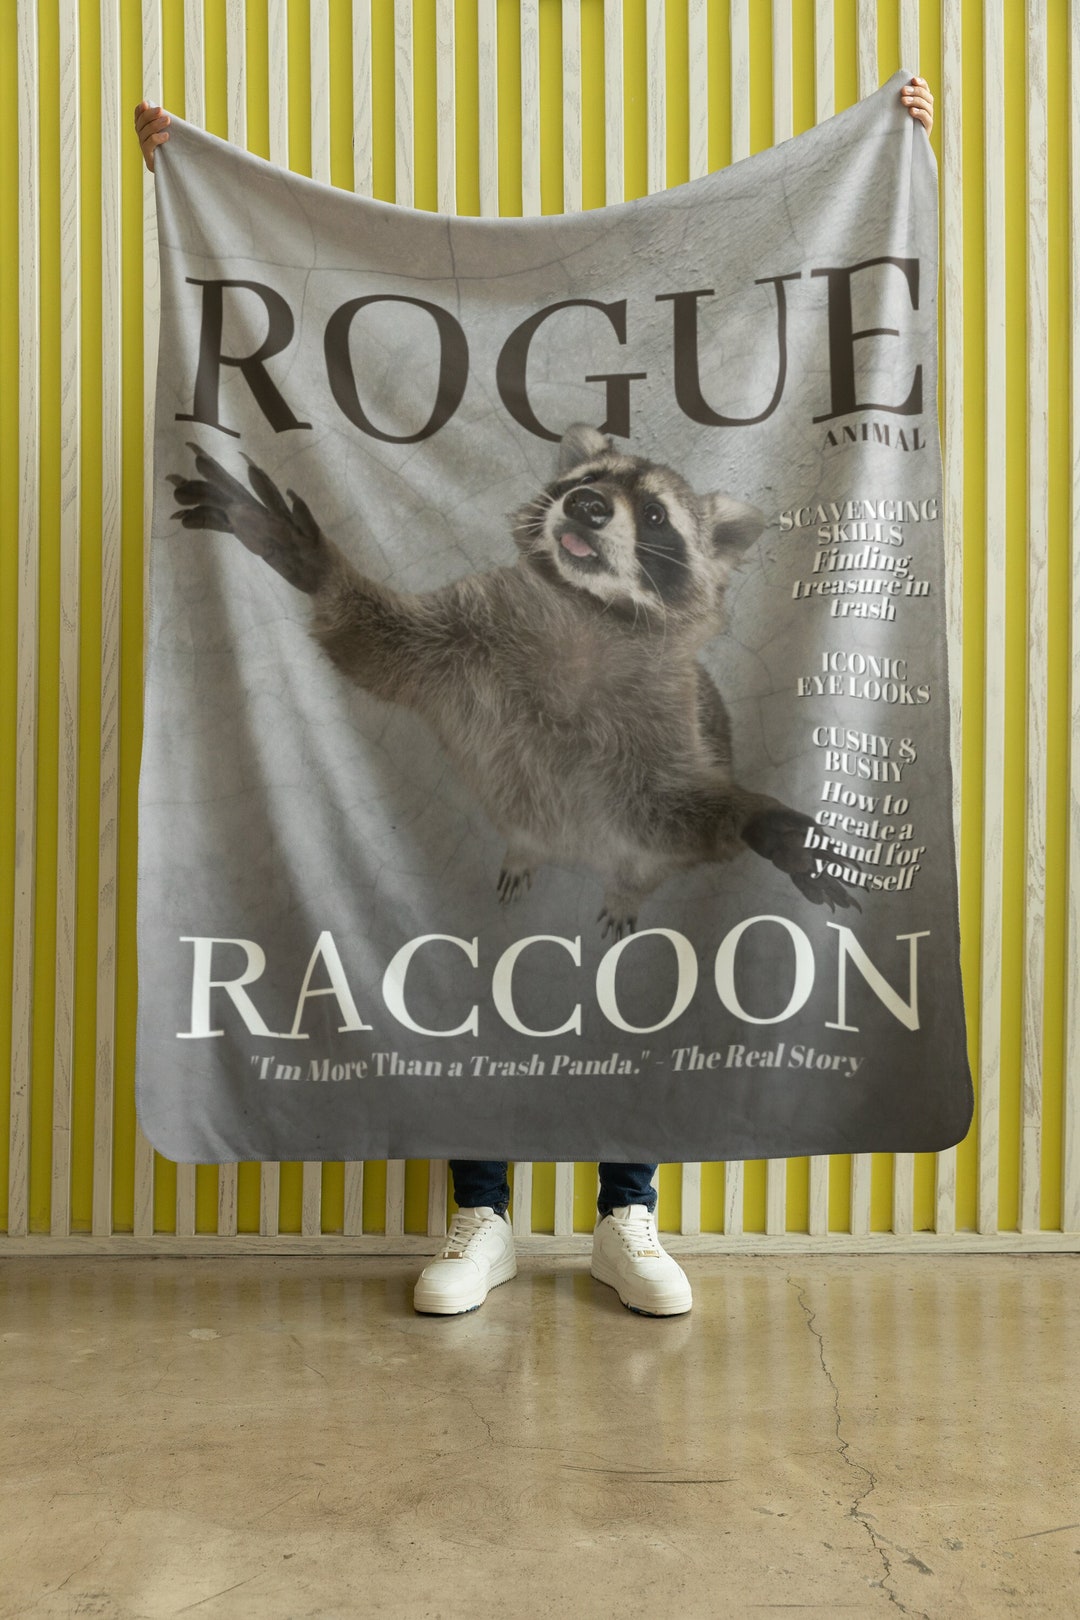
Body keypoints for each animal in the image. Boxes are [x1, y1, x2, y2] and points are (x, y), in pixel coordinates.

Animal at [169, 424, 856, 934]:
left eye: (655, 515)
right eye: (584, 481)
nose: (586, 506)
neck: (585, 610)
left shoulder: (668, 715)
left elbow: (672, 807)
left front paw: (759, 820)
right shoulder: (468, 636)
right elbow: (381, 646)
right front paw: (313, 563)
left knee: (645, 860)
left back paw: (625, 890)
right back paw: (526, 850)